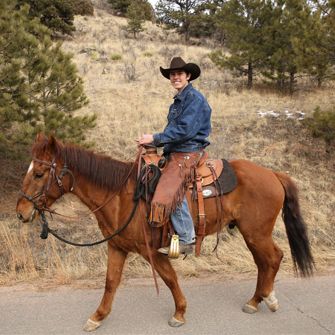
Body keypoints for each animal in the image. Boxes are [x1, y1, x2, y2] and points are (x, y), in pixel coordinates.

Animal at [16, 135, 316, 332]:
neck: (121, 196)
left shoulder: (150, 250)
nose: (20, 211)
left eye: (40, 173)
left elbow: (169, 278)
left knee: (273, 258)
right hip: (251, 232)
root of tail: (273, 174)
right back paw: (257, 300)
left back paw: (266, 299)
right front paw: (97, 317)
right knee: (264, 261)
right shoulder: (118, 247)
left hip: (256, 232)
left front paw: (180, 313)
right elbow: (111, 282)